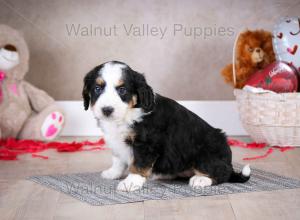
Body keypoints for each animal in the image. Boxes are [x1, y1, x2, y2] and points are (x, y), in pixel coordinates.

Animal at [82, 61, 251, 192]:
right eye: (97, 89)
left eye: (122, 90)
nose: (107, 110)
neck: (127, 114)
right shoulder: (117, 141)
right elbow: (118, 159)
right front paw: (113, 173)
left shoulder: (146, 143)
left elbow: (138, 164)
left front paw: (131, 182)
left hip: (206, 152)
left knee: (221, 173)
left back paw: (201, 179)